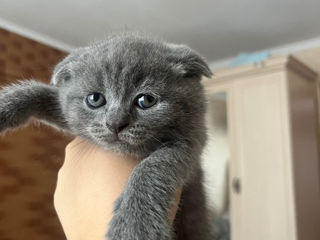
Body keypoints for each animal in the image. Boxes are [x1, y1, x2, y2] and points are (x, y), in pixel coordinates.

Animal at [0, 32, 215, 239]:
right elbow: (45, 95)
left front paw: (134, 225)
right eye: (95, 99)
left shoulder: (191, 142)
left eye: (146, 100)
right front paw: (5, 106)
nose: (115, 123)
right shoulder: (69, 115)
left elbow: (154, 166)